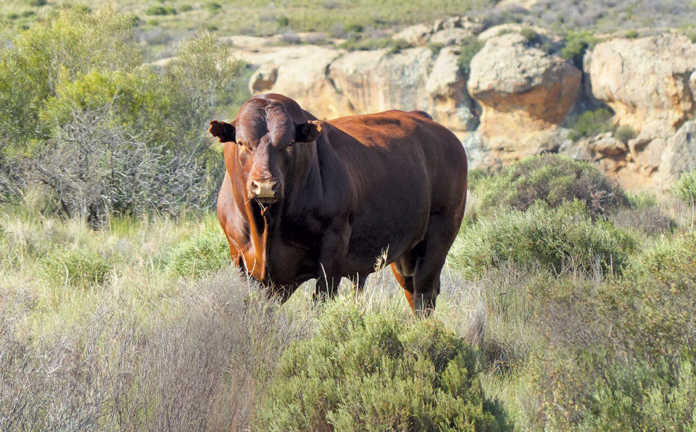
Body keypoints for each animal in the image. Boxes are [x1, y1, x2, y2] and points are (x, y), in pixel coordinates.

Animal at [210, 94, 467, 316]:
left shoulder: (333, 248)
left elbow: (322, 300)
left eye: (289, 143)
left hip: (439, 236)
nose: (265, 185)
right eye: (242, 143)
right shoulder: (240, 257)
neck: (267, 227)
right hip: (404, 253)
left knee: (425, 293)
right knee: (411, 290)